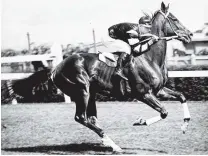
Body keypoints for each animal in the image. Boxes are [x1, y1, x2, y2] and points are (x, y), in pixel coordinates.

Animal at [5, 2, 193, 152]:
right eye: (174, 19)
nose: (189, 35)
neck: (149, 57)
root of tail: (55, 68)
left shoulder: (158, 90)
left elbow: (182, 96)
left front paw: (185, 124)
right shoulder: (143, 93)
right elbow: (164, 112)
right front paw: (140, 121)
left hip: (91, 94)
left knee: (91, 118)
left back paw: (106, 142)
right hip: (82, 91)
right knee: (81, 117)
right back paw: (114, 145)